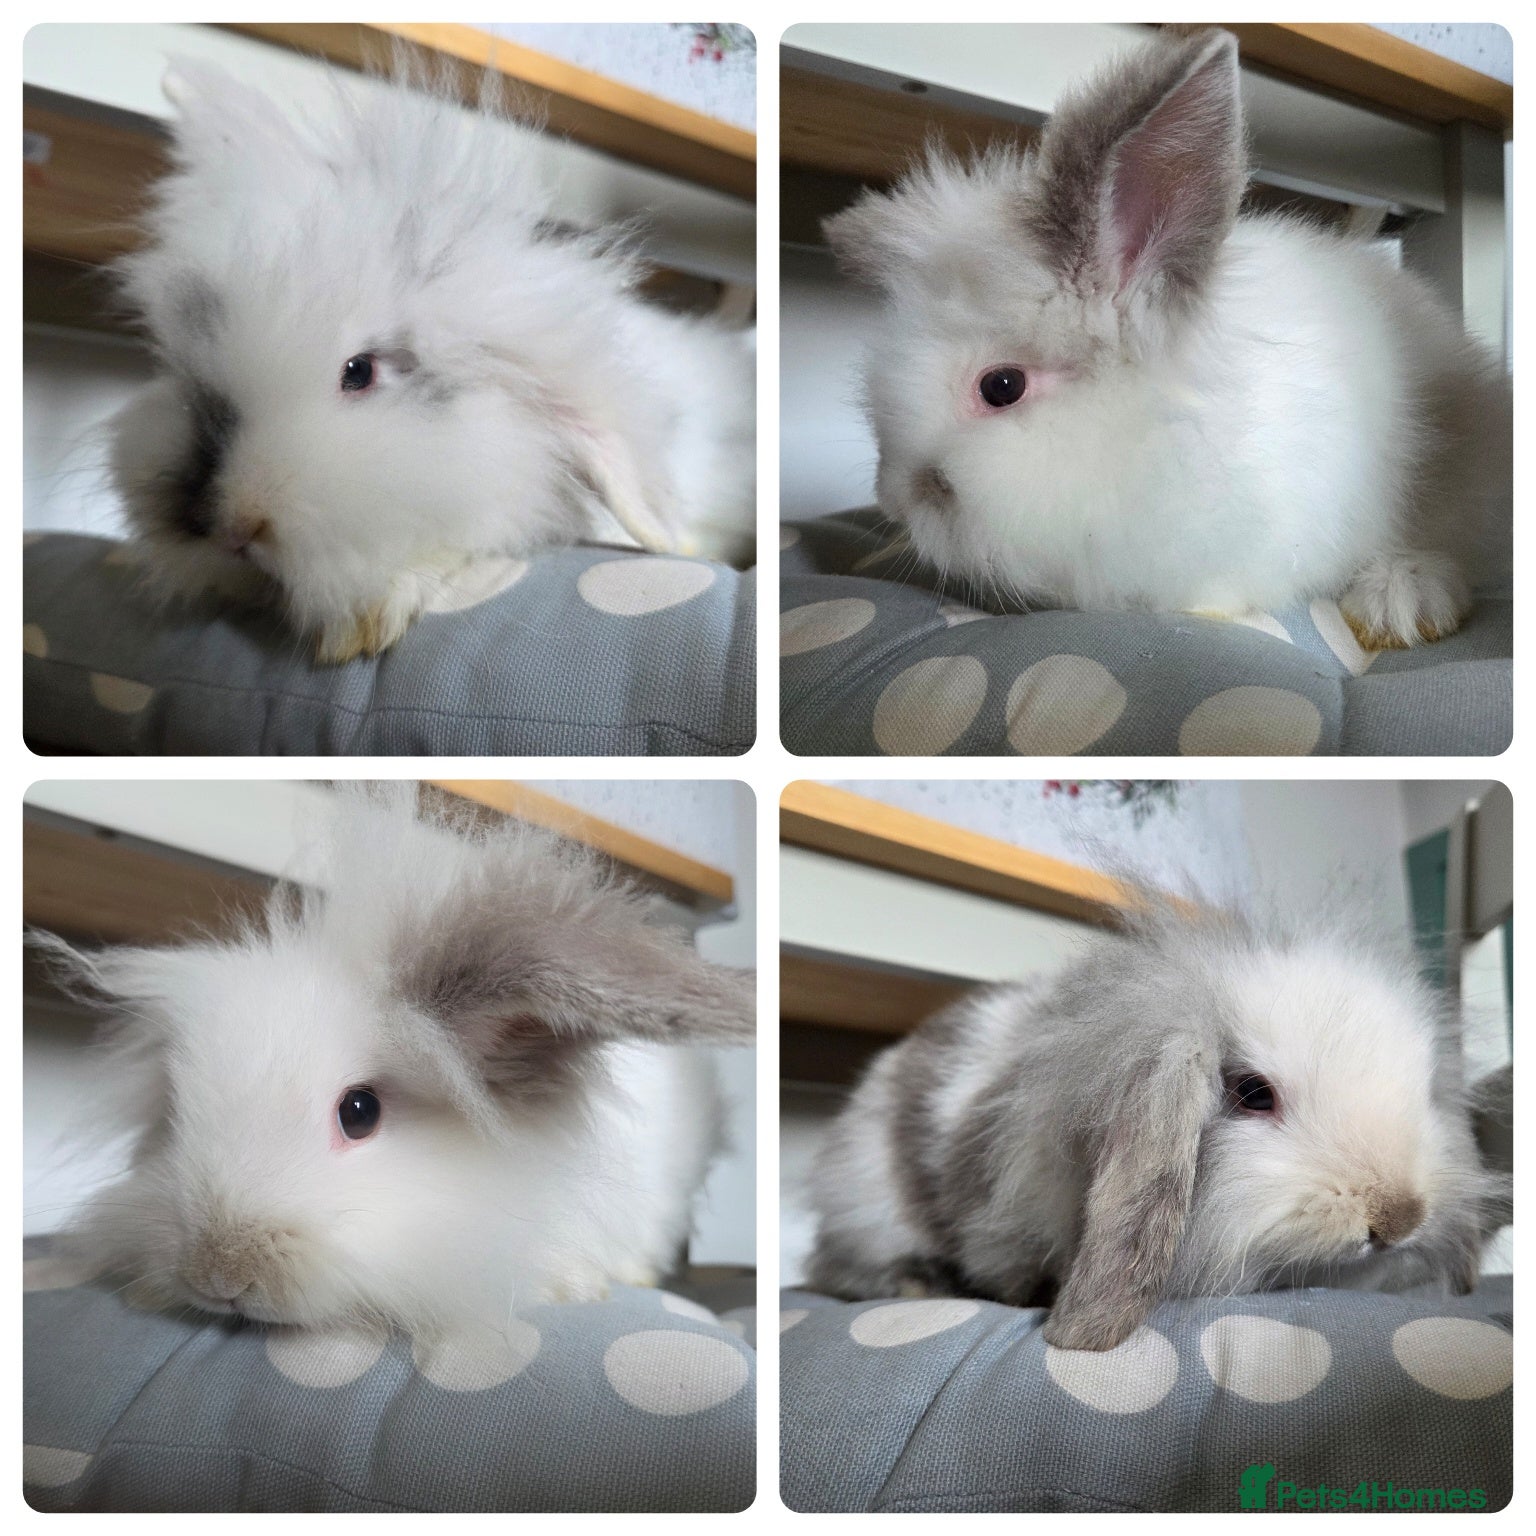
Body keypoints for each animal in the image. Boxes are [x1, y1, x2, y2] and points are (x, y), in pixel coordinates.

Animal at [805, 892, 1503, 1352]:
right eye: (1253, 1093)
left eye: (1422, 1091)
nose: (1398, 1219)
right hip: (869, 1209)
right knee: (839, 1271)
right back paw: (916, 1283)